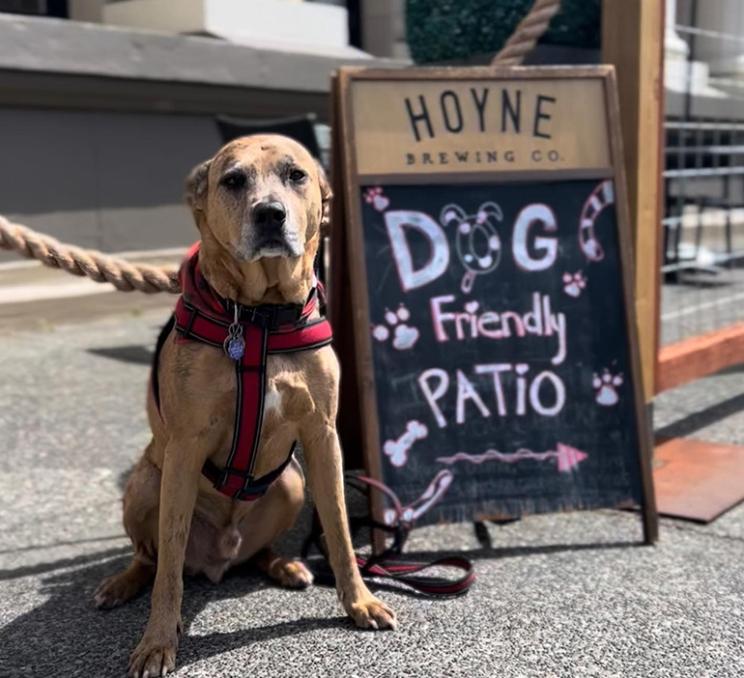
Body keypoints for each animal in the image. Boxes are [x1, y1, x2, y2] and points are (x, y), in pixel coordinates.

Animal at [96, 135, 398, 676]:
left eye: (297, 175)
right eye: (233, 180)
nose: (270, 215)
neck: (260, 316)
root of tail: (218, 559)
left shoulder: (323, 436)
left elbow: (341, 530)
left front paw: (359, 601)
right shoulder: (184, 448)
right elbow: (168, 566)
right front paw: (157, 641)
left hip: (292, 483)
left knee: (256, 551)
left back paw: (283, 565)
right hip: (147, 482)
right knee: (150, 557)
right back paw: (122, 583)